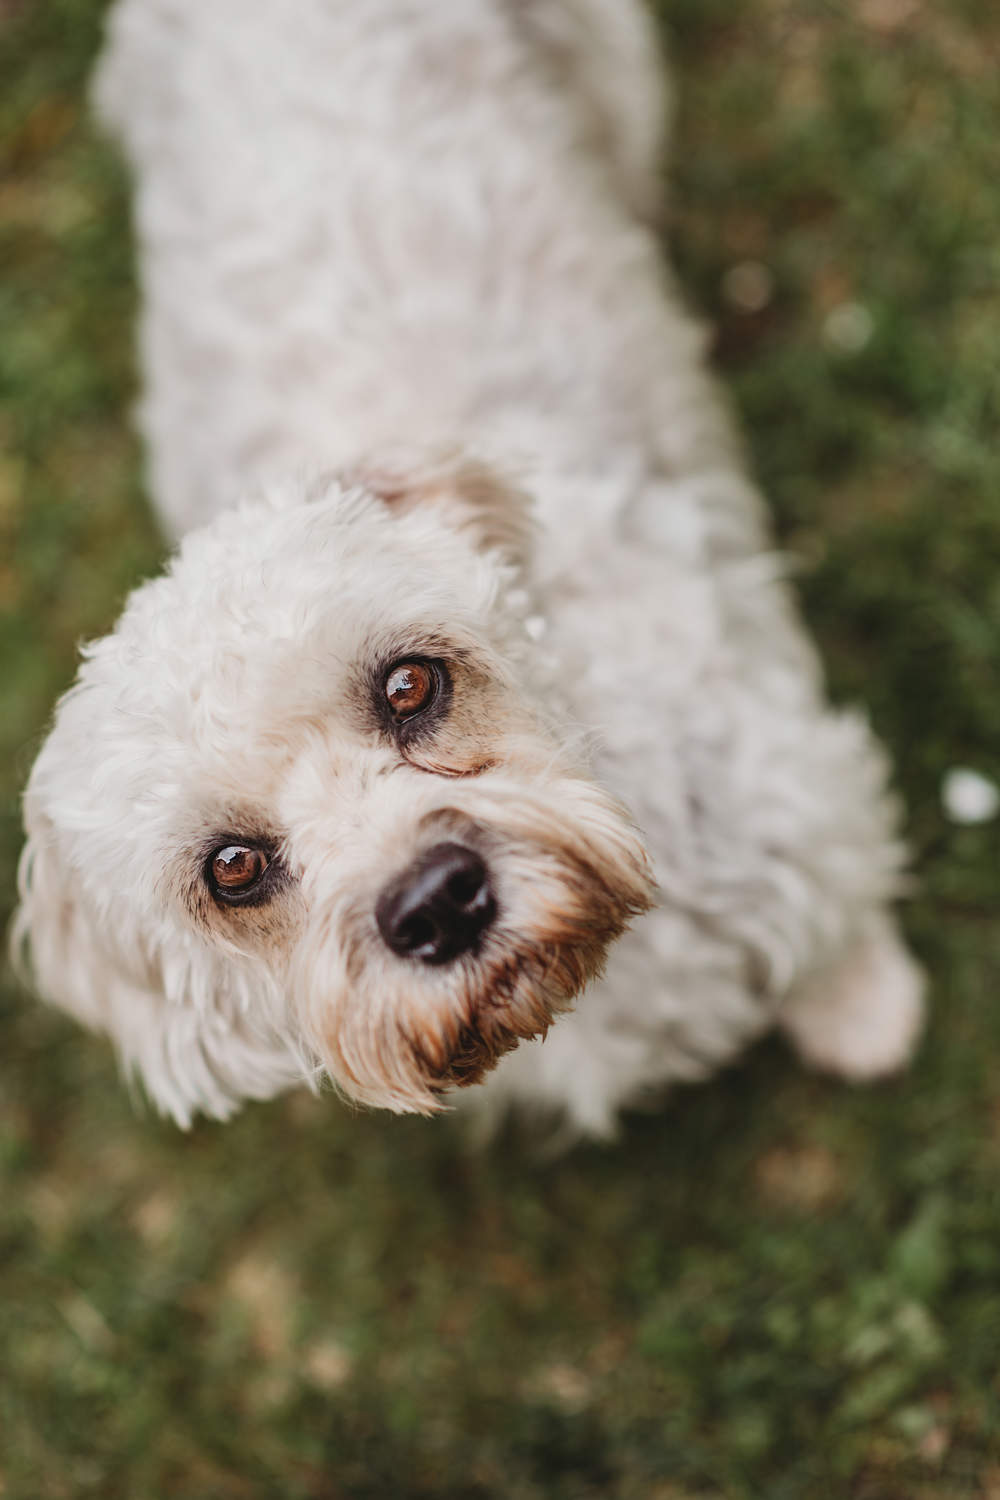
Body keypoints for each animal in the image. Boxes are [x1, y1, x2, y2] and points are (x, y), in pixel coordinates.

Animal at [15, 0, 923, 1128]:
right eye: (231, 868)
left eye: (411, 683)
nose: (435, 904)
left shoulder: (785, 781)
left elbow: (833, 911)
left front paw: (862, 1008)